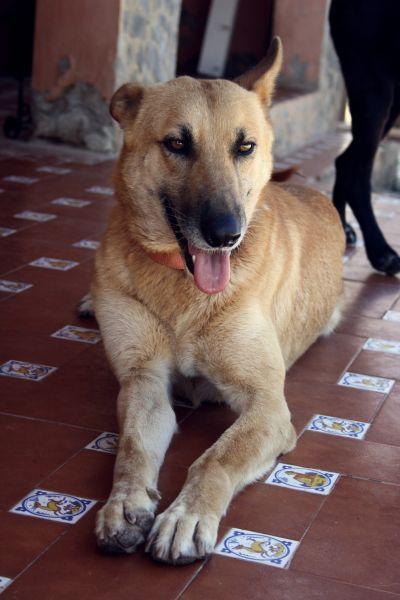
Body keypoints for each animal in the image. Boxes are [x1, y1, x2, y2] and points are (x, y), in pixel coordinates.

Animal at [90, 39, 344, 564]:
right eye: (177, 144)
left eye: (244, 147)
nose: (226, 234)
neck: (182, 288)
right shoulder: (143, 381)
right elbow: (132, 448)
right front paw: (124, 503)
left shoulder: (268, 405)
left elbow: (217, 457)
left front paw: (186, 517)